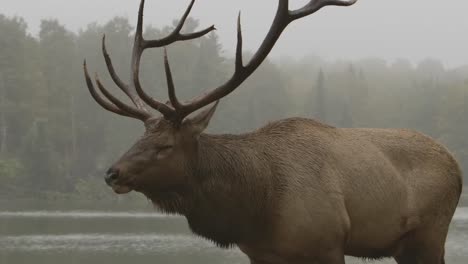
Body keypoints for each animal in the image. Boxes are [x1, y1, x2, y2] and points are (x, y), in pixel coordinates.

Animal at [83, 0, 460, 264]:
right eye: (138, 138)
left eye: (164, 146)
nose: (112, 173)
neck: (259, 206)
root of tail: (456, 166)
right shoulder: (261, 253)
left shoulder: (329, 243)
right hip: (405, 245)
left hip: (430, 233)